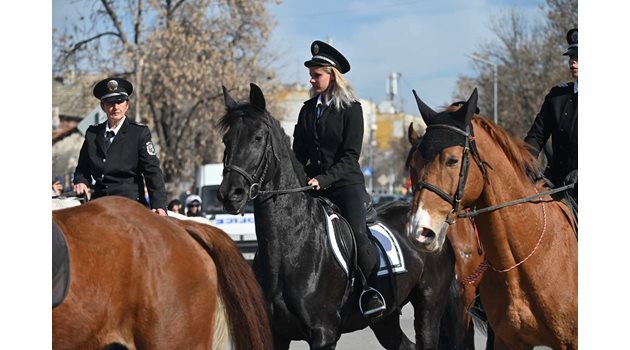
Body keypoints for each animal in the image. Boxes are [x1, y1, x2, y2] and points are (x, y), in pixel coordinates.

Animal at [217, 83, 460, 348]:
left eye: (257, 138)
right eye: (226, 140)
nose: (230, 194)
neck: (291, 248)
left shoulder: (324, 332)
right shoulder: (277, 333)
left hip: (429, 307)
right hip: (385, 321)